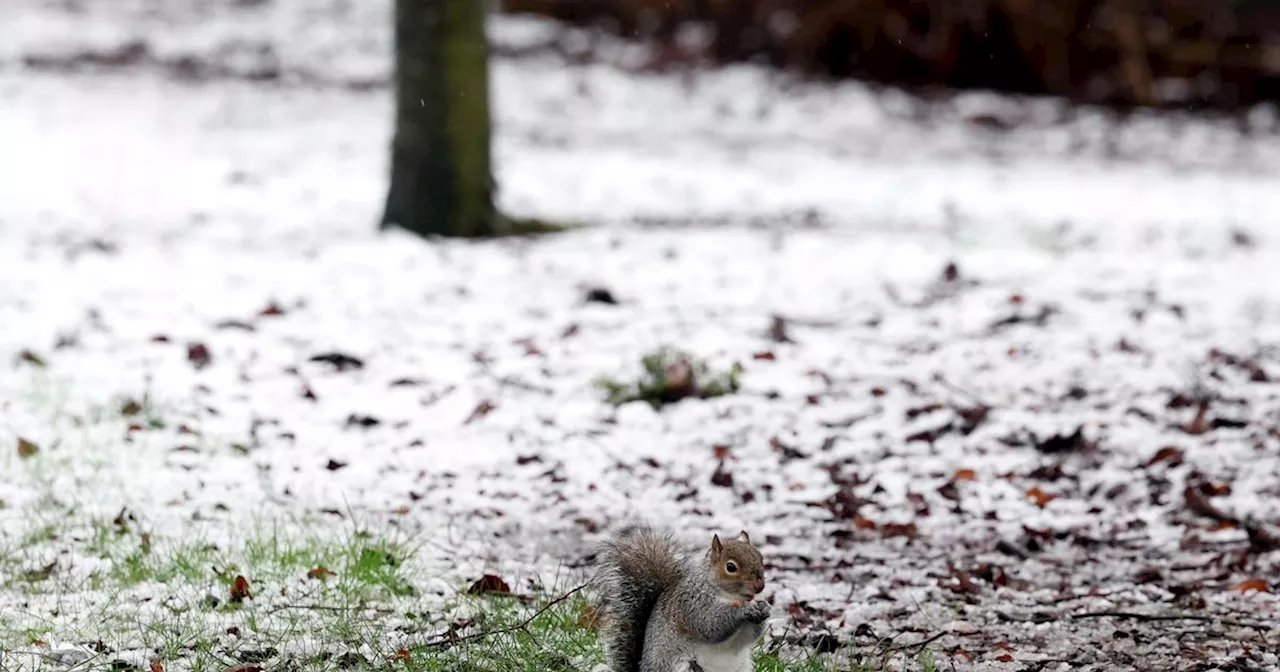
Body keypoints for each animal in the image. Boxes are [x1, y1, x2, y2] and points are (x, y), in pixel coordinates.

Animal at [591, 524, 762, 670]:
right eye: (730, 567)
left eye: (760, 557)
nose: (759, 586)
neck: (731, 597)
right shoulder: (693, 603)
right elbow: (711, 624)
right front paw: (744, 611)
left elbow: (747, 637)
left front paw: (764, 608)